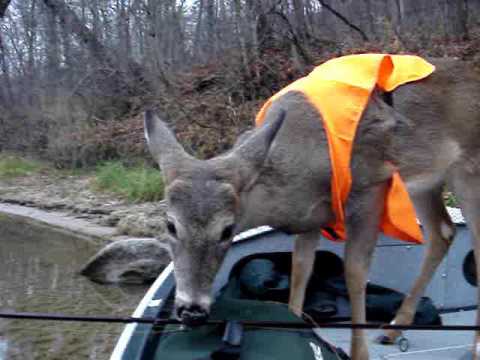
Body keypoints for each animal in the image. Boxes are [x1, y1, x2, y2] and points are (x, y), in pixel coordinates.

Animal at [144, 57, 480, 360]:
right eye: (170, 224)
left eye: (227, 229)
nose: (192, 311)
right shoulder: (309, 216)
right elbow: (301, 269)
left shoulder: (371, 186)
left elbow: (355, 272)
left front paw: (358, 354)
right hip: (428, 181)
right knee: (442, 232)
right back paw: (393, 328)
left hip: (468, 172)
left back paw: (473, 346)